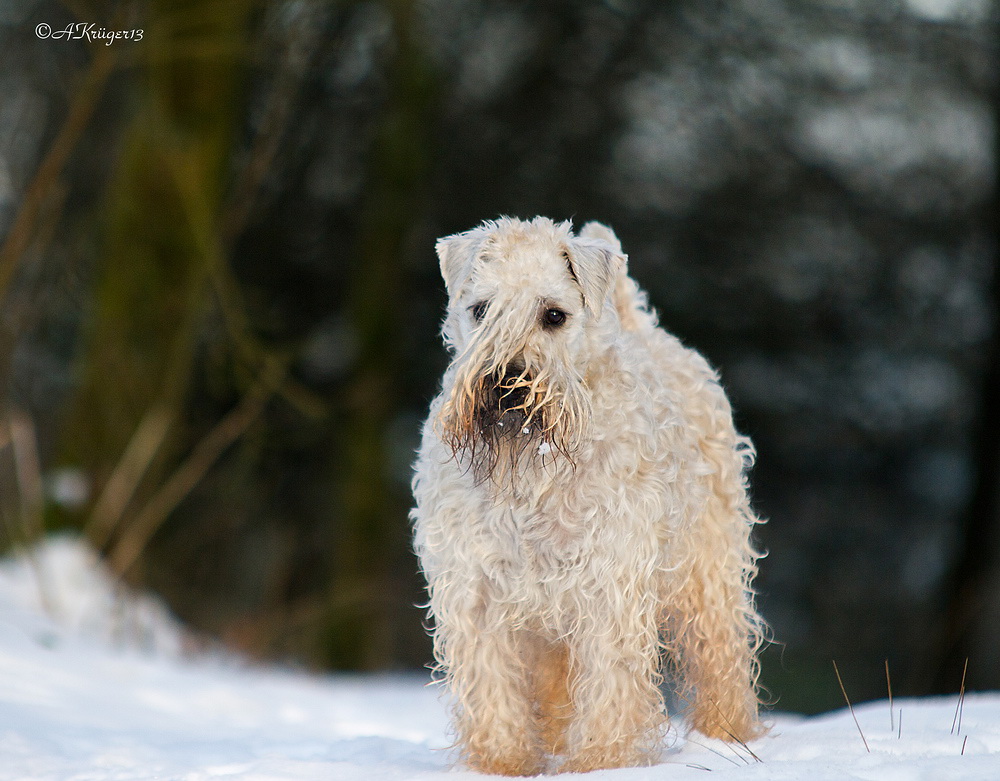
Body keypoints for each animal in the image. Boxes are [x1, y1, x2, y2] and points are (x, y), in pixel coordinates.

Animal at [410, 215, 760, 772]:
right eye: (481, 309)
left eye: (554, 314)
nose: (506, 382)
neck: (533, 475)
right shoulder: (476, 590)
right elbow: (494, 692)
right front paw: (503, 765)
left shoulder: (610, 584)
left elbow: (610, 686)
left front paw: (601, 761)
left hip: (710, 569)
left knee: (720, 656)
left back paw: (727, 738)